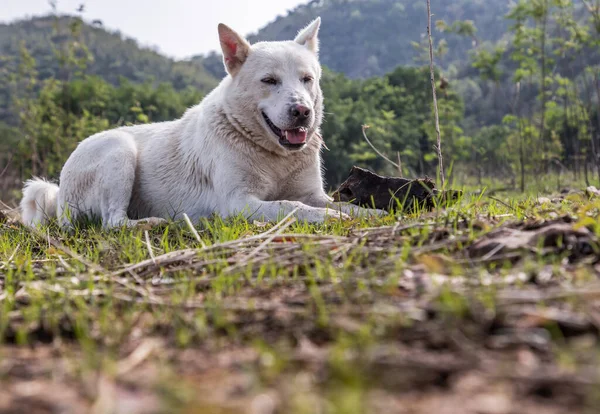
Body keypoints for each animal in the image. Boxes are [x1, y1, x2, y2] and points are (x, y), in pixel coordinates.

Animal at [22, 17, 380, 228]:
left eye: (307, 79)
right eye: (269, 81)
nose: (302, 112)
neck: (273, 156)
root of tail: (58, 191)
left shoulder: (313, 193)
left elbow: (349, 206)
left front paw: (377, 214)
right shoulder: (238, 202)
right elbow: (292, 206)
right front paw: (327, 218)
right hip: (118, 152)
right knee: (112, 222)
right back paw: (155, 223)